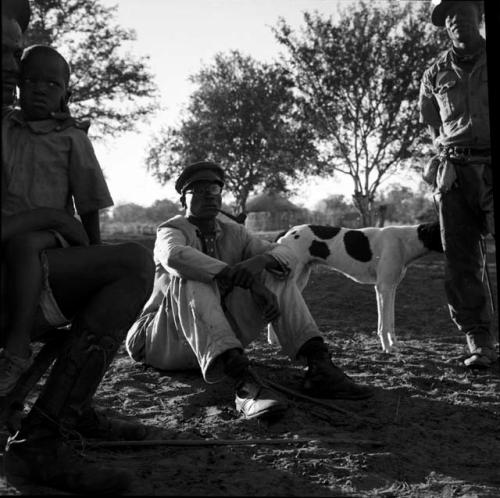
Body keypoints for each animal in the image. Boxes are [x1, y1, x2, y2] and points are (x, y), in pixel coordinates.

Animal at [274, 222, 442, 354]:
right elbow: (384, 324)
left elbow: (390, 321)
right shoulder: (383, 288)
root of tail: (288, 231)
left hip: (301, 279)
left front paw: (394, 343)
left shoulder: (390, 288)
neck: (404, 241)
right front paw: (387, 348)